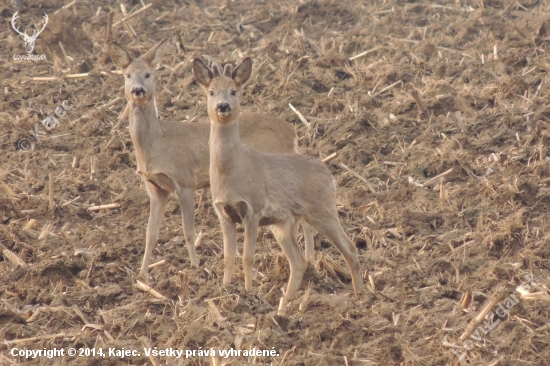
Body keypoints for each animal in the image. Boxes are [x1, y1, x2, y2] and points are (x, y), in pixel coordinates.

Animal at [109, 39, 314, 280]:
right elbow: (150, 233)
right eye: (127, 75)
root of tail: (292, 131)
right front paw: (142, 274)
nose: (137, 90)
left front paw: (195, 266)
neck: (157, 144)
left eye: (148, 74)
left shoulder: (184, 181)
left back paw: (310, 259)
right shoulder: (156, 187)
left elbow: (188, 231)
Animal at [194, 57, 366, 312]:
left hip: (322, 210)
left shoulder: (253, 209)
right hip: (285, 225)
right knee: (299, 261)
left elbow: (247, 256)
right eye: (211, 92)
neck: (232, 173)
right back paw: (284, 306)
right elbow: (228, 257)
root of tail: (329, 174)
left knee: (350, 248)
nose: (222, 106)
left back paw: (361, 296)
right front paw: (225, 291)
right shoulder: (223, 213)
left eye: (234, 91)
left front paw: (247, 294)